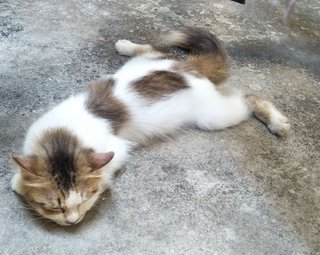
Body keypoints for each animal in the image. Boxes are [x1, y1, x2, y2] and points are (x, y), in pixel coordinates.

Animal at [10, 27, 290, 226]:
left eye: (84, 199)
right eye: (54, 206)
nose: (72, 221)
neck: (64, 137)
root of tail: (186, 68)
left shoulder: (116, 149)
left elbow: (105, 173)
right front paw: (20, 183)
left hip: (213, 116)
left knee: (249, 97)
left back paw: (277, 121)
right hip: (145, 65)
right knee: (153, 49)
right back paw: (126, 45)